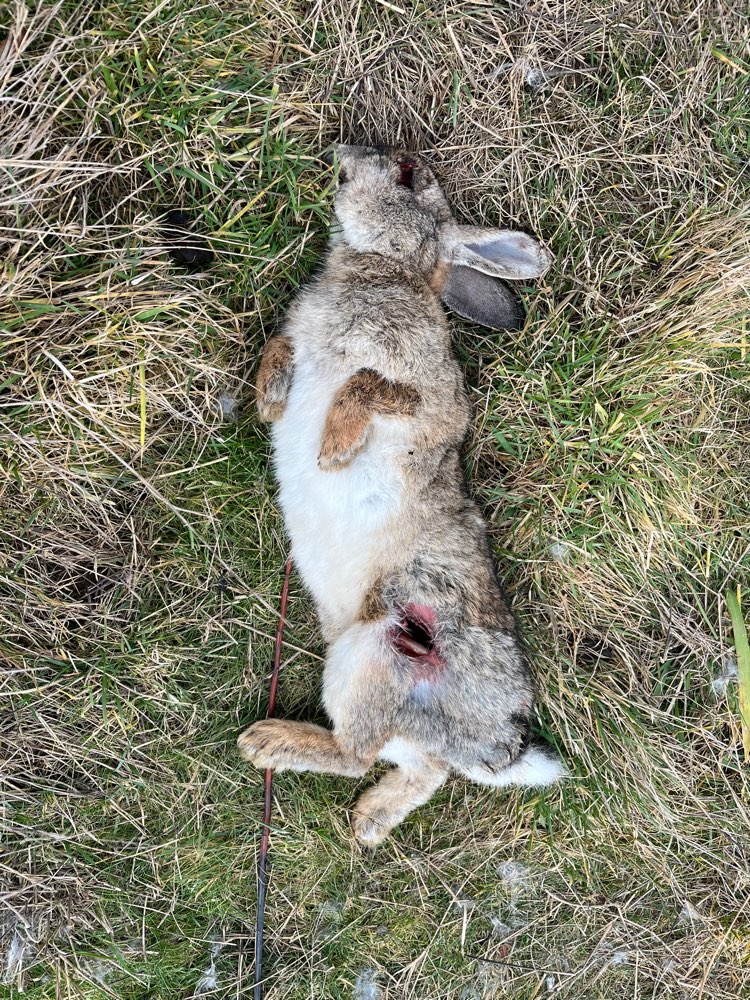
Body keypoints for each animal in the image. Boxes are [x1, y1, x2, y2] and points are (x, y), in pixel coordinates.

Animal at [238, 144, 566, 847]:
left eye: (410, 174)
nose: (343, 154)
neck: (386, 269)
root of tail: (496, 743)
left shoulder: (427, 398)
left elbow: (366, 383)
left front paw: (333, 447)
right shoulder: (300, 344)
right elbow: (279, 348)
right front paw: (272, 396)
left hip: (375, 648)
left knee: (358, 754)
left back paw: (269, 744)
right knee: (417, 768)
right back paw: (369, 819)